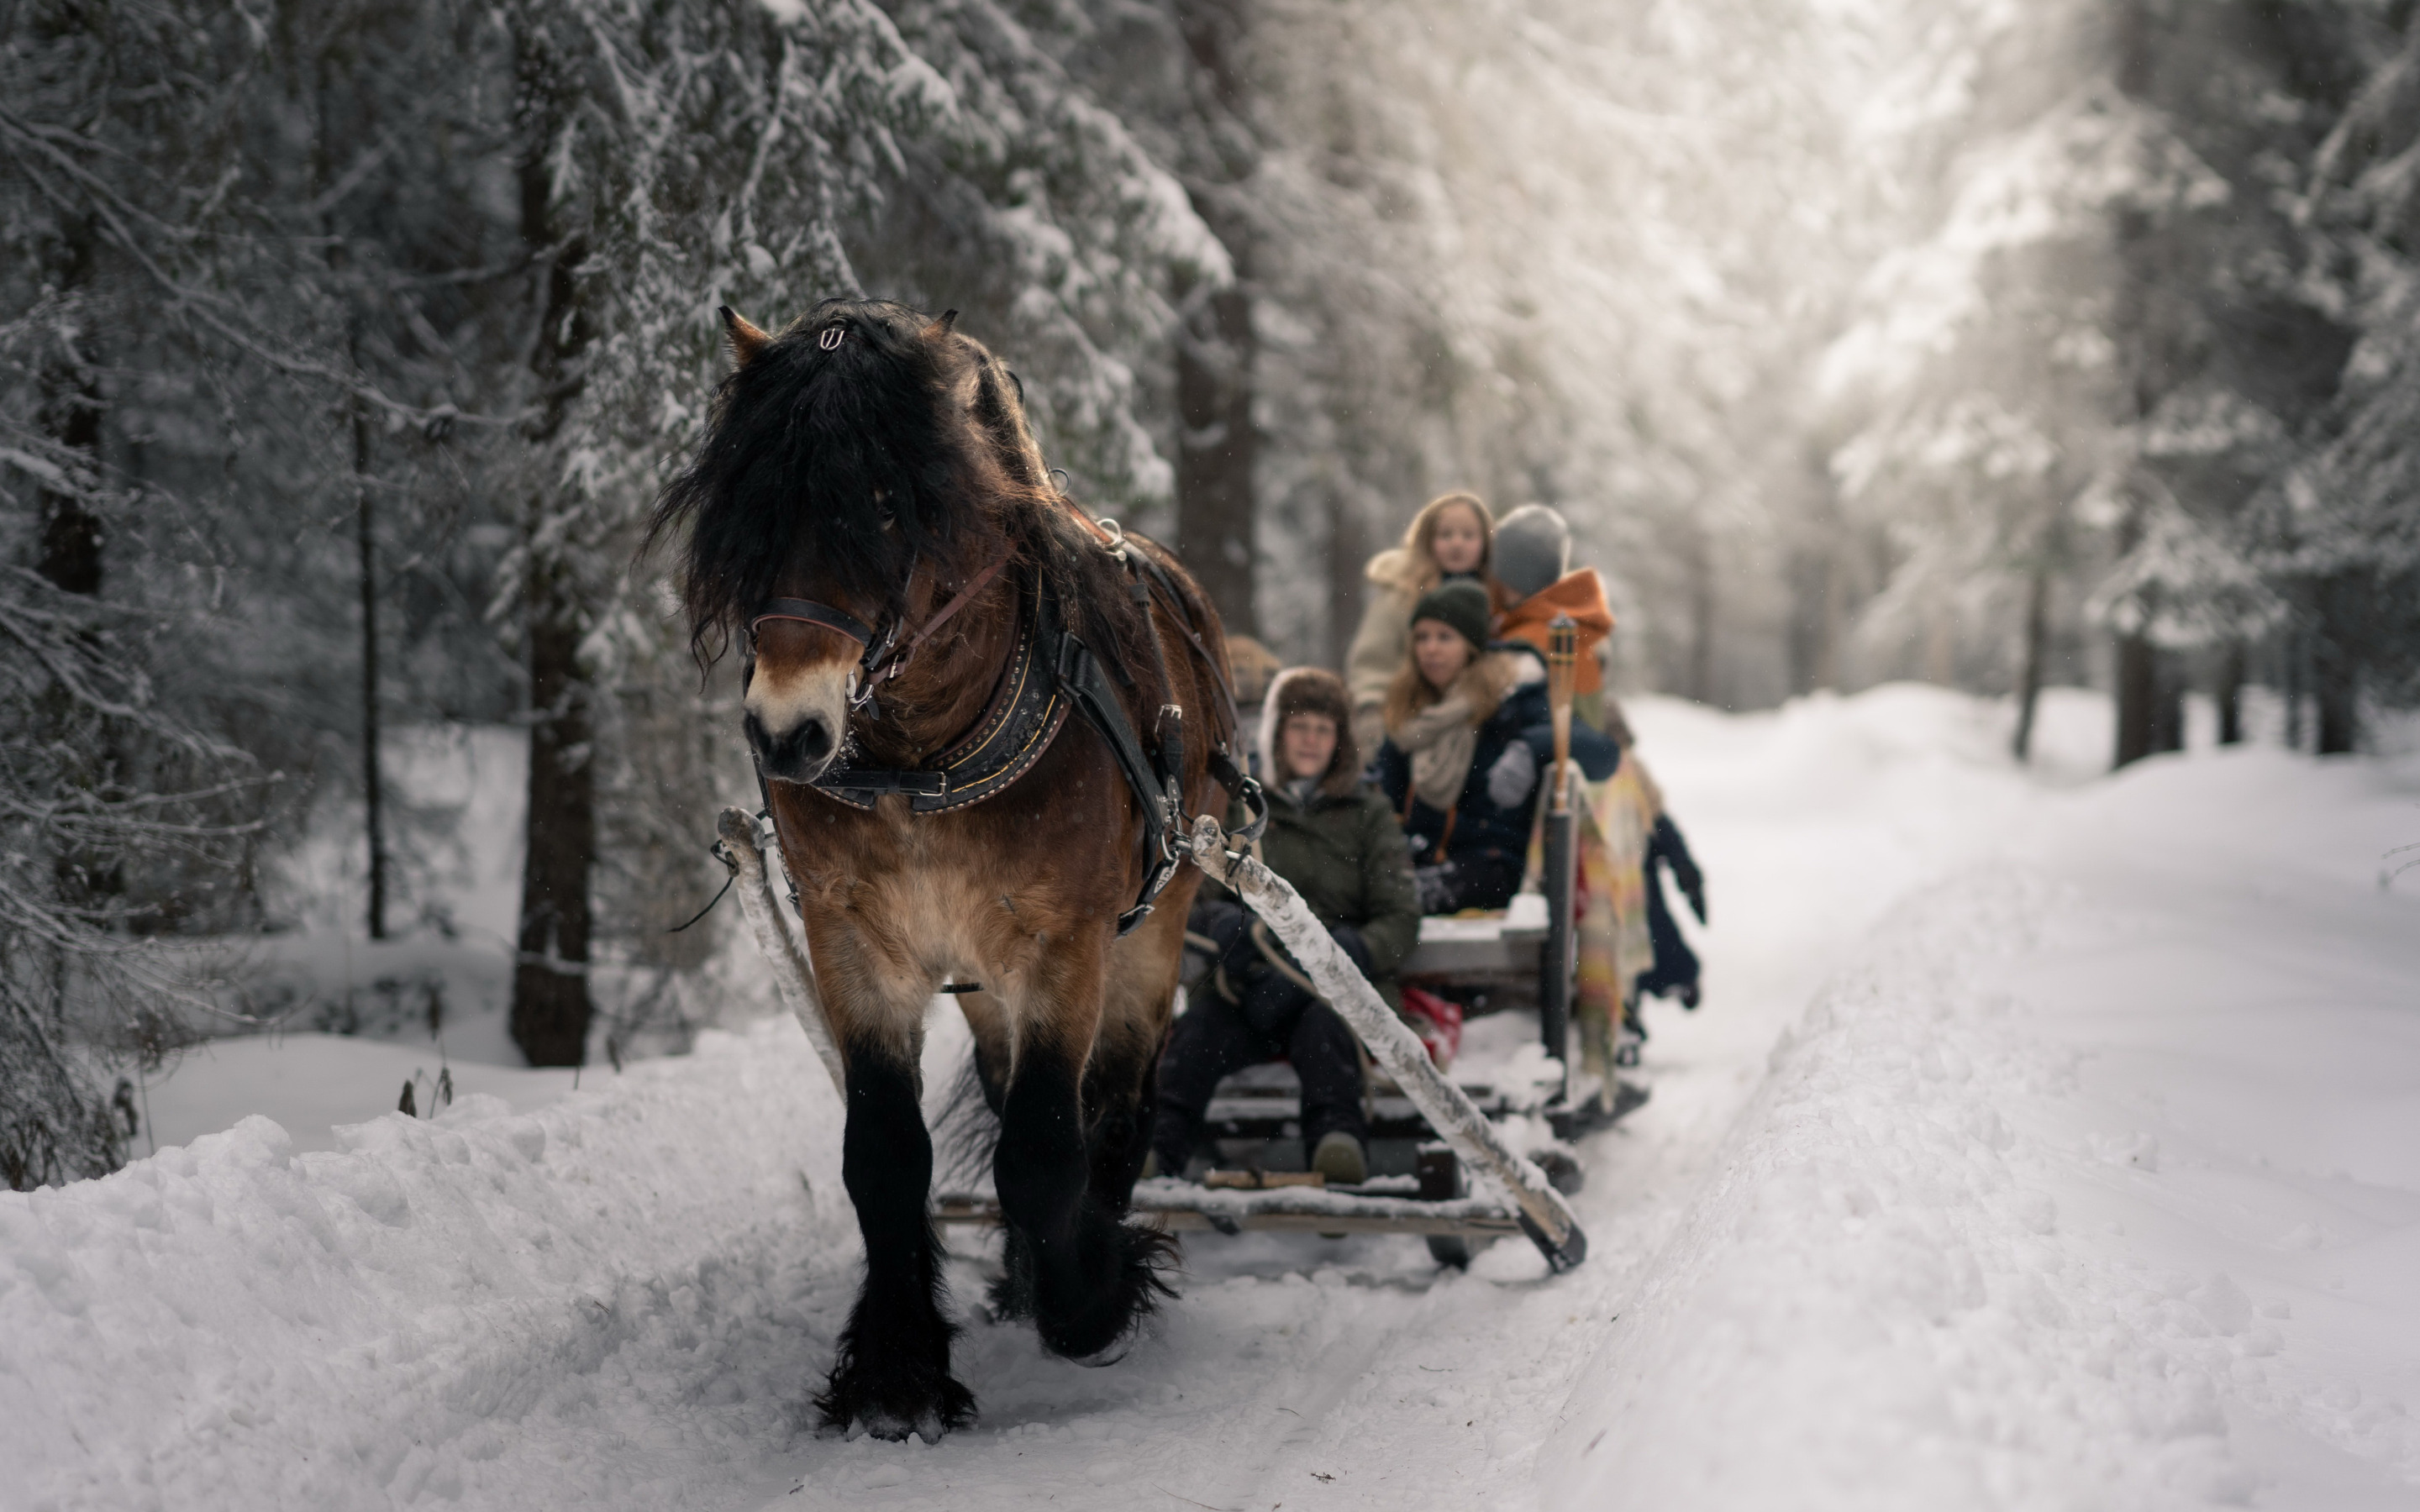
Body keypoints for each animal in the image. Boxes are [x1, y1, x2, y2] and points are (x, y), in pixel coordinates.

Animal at [648, 295, 1249, 1441]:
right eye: (755, 503)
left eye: (884, 505)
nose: (786, 733)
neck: (920, 760)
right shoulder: (855, 941)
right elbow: (885, 1156)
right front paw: (897, 1370)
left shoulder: (1062, 942)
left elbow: (1045, 1151)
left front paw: (1089, 1298)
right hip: (978, 976)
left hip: (1154, 924)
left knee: (1118, 1102)